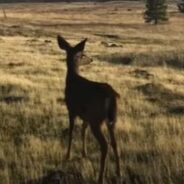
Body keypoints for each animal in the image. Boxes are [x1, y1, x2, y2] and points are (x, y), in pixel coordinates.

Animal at [57, 35, 121, 183]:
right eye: (83, 55)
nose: (91, 59)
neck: (71, 80)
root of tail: (112, 95)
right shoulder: (85, 115)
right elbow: (83, 131)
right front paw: (84, 153)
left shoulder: (71, 108)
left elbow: (71, 132)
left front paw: (67, 156)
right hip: (112, 119)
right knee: (114, 142)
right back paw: (118, 173)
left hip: (96, 119)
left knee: (105, 144)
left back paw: (101, 178)